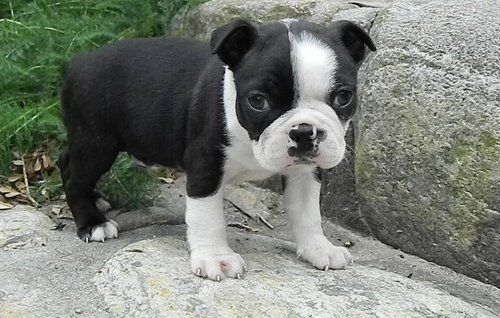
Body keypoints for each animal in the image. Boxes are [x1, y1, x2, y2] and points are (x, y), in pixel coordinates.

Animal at [58, 18, 376, 280]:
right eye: (257, 101)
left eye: (344, 97)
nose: (304, 131)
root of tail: (79, 61)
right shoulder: (205, 165)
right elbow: (208, 216)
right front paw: (216, 258)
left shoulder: (304, 171)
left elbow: (308, 211)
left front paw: (318, 248)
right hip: (97, 142)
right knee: (76, 179)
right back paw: (92, 223)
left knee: (65, 161)